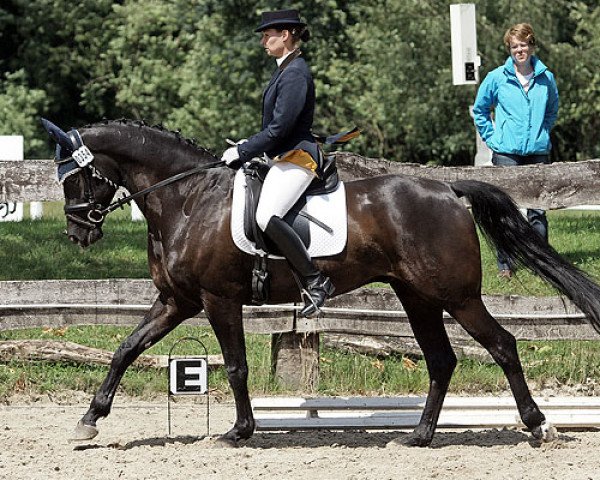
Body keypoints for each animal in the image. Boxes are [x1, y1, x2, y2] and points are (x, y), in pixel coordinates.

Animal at [42, 119, 600, 446]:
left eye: (74, 176)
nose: (77, 232)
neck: (187, 198)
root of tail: (447, 189)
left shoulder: (218, 300)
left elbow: (236, 367)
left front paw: (238, 431)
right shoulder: (175, 301)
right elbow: (125, 349)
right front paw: (89, 420)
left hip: (456, 296)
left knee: (503, 345)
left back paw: (540, 425)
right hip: (416, 296)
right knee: (442, 360)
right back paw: (417, 436)